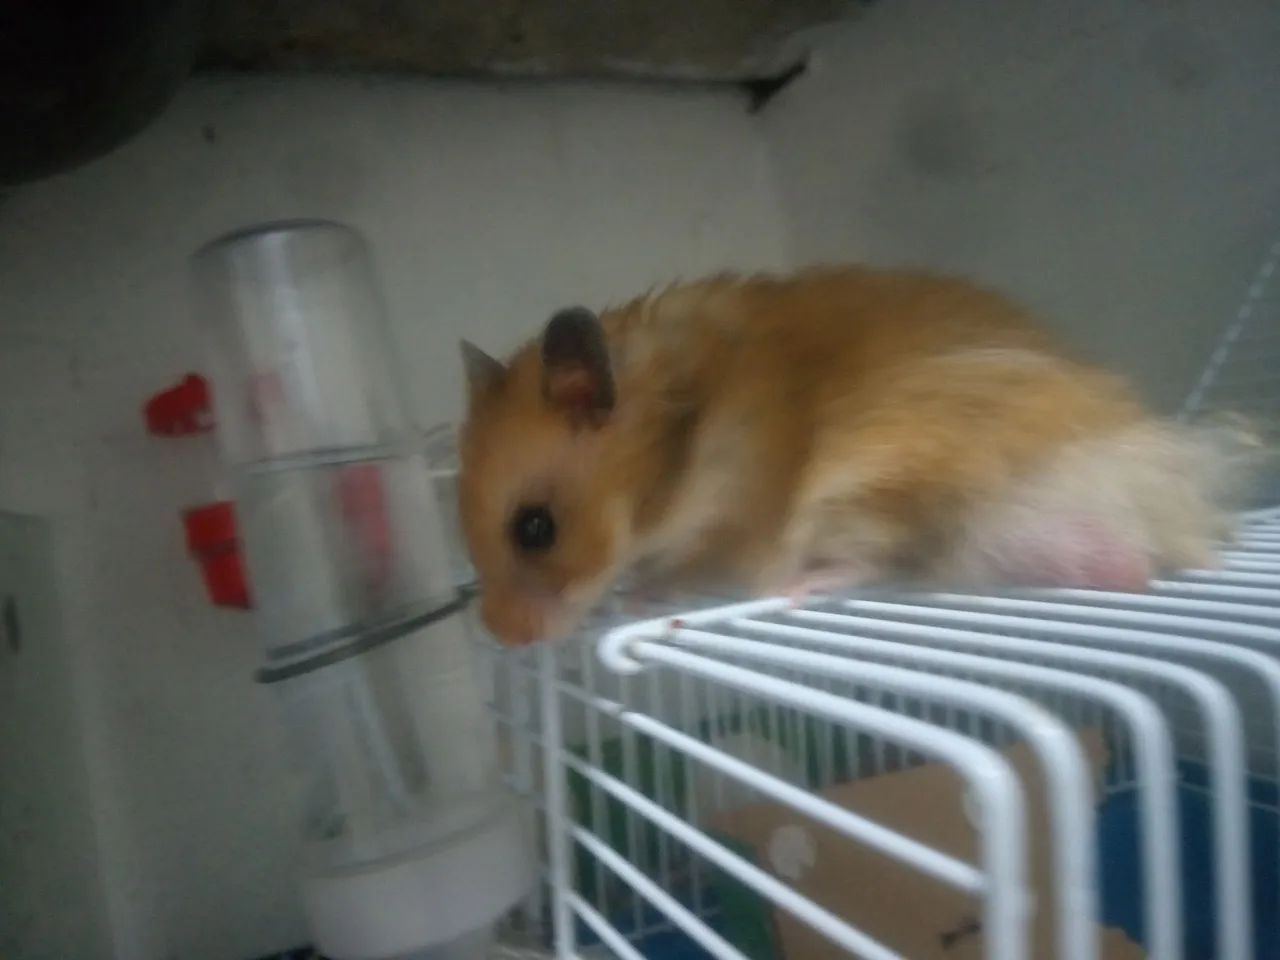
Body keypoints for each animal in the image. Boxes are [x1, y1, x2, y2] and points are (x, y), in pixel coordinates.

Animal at [457, 266, 1262, 647]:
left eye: (535, 528)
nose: (503, 639)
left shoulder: (727, 524)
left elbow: (677, 574)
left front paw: (637, 596)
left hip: (873, 474)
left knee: (874, 557)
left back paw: (803, 586)